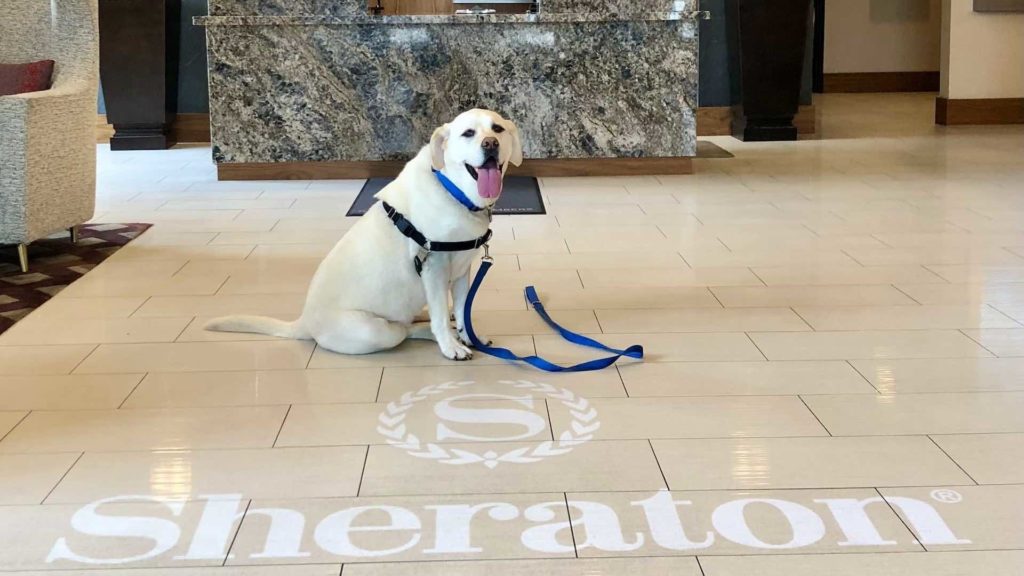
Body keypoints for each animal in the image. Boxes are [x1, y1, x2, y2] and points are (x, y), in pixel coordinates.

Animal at [208, 108, 528, 358]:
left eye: (497, 129)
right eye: (468, 133)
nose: (490, 143)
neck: (451, 189)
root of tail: (304, 322)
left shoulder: (462, 270)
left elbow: (463, 310)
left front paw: (468, 336)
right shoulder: (434, 267)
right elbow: (440, 315)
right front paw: (452, 346)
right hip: (378, 331)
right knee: (405, 329)